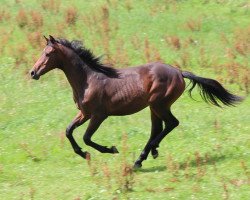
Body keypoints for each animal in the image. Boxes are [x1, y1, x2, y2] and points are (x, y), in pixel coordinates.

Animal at [29, 35, 242, 168]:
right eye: (42, 52)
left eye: (48, 53)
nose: (33, 72)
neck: (88, 79)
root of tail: (179, 72)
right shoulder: (84, 113)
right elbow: (68, 131)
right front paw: (84, 154)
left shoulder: (99, 115)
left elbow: (87, 138)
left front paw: (110, 149)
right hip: (154, 107)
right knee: (158, 128)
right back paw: (148, 154)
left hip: (159, 104)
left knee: (171, 123)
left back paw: (143, 156)